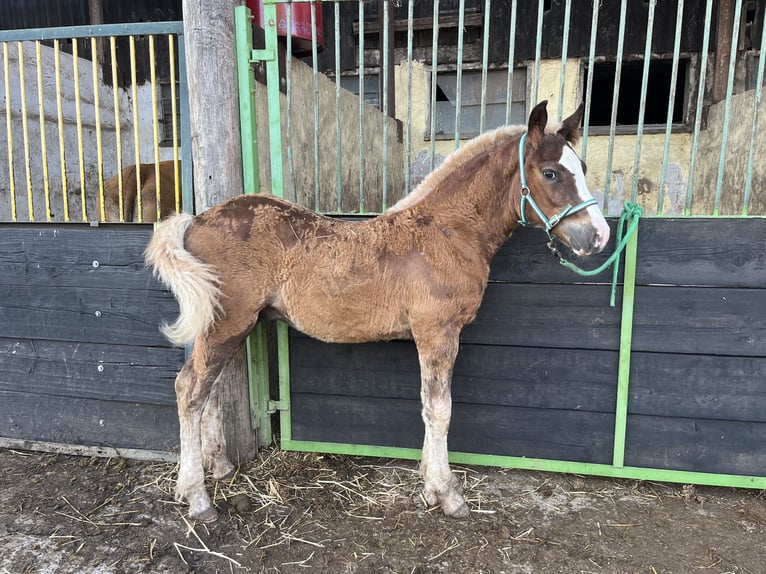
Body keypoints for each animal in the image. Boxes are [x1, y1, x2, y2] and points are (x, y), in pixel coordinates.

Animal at [144, 101, 612, 524]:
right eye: (550, 172)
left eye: (584, 165)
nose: (599, 236)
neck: (448, 231)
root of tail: (195, 220)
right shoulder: (438, 332)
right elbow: (440, 409)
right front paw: (448, 495)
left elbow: (427, 404)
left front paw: (428, 485)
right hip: (228, 322)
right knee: (190, 389)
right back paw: (198, 498)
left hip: (230, 325)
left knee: (209, 391)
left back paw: (220, 468)